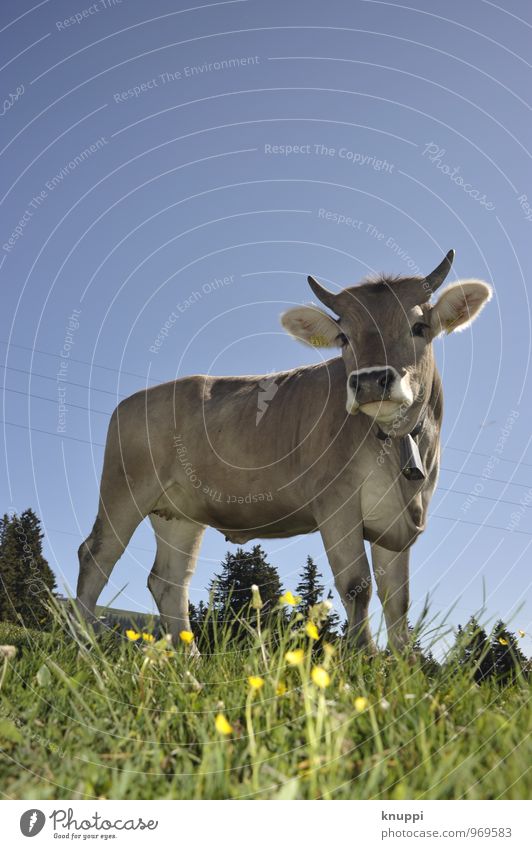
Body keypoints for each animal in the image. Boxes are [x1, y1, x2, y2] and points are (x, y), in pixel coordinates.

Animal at [75, 250, 490, 648]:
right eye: (344, 337)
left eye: (419, 327)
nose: (371, 381)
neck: (397, 442)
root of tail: (137, 399)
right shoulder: (336, 504)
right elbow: (357, 586)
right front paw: (363, 658)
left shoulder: (397, 523)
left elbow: (398, 602)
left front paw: (402, 666)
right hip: (124, 489)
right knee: (97, 555)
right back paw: (83, 646)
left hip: (178, 513)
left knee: (170, 580)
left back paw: (189, 659)